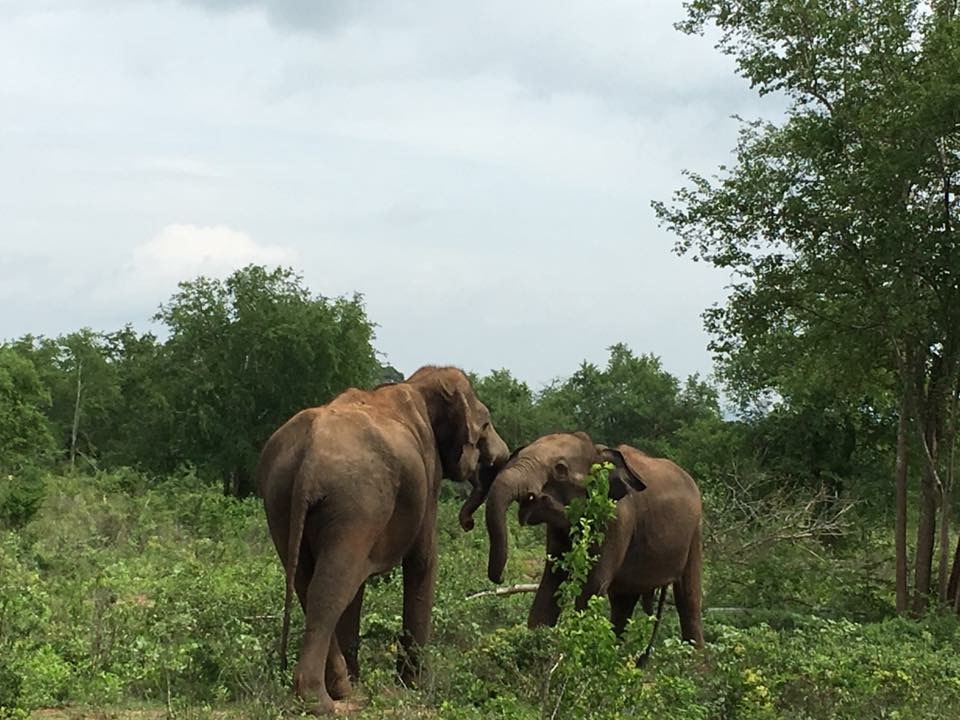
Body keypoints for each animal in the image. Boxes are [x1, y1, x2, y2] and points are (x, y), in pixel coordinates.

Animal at [255, 368, 510, 712]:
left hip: (281, 497)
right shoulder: (428, 471)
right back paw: (322, 701)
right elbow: (423, 560)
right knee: (330, 588)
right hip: (356, 499)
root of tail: (310, 449)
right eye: (485, 423)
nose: (467, 523)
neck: (416, 384)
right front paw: (415, 687)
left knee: (309, 582)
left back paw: (344, 689)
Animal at [464, 434, 704, 648]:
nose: (501, 579)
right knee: (623, 603)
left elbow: (592, 584)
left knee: (689, 599)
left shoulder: (616, 519)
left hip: (694, 532)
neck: (598, 451)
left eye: (560, 469)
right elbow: (551, 580)